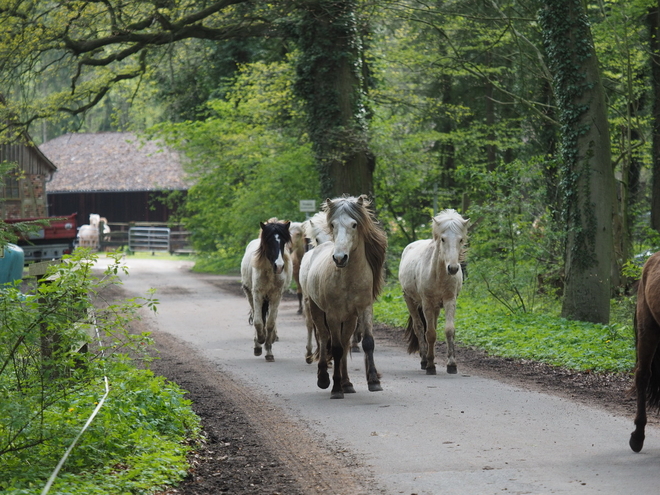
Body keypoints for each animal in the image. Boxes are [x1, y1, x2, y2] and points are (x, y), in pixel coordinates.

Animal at [240, 219, 292, 362]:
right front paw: (260, 341)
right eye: (269, 241)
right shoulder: (258, 294)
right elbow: (258, 321)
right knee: (257, 316)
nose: (279, 266)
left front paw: (269, 350)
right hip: (250, 295)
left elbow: (270, 323)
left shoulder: (276, 296)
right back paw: (258, 343)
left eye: (283, 242)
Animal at [300, 195, 386, 400]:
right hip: (317, 309)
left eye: (354, 224)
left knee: (346, 342)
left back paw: (347, 383)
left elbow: (367, 343)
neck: (348, 277)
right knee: (324, 338)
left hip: (349, 318)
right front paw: (335, 388)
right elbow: (336, 348)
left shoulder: (364, 309)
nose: (340, 258)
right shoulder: (333, 314)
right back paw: (324, 378)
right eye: (333, 225)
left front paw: (374, 381)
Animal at [398, 209, 470, 376]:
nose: (453, 268)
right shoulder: (427, 304)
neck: (439, 275)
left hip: (436, 307)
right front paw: (431, 366)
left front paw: (452, 364)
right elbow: (429, 334)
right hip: (410, 301)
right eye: (443, 239)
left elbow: (449, 330)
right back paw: (424, 360)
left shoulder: (450, 301)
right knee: (419, 328)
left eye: (460, 240)